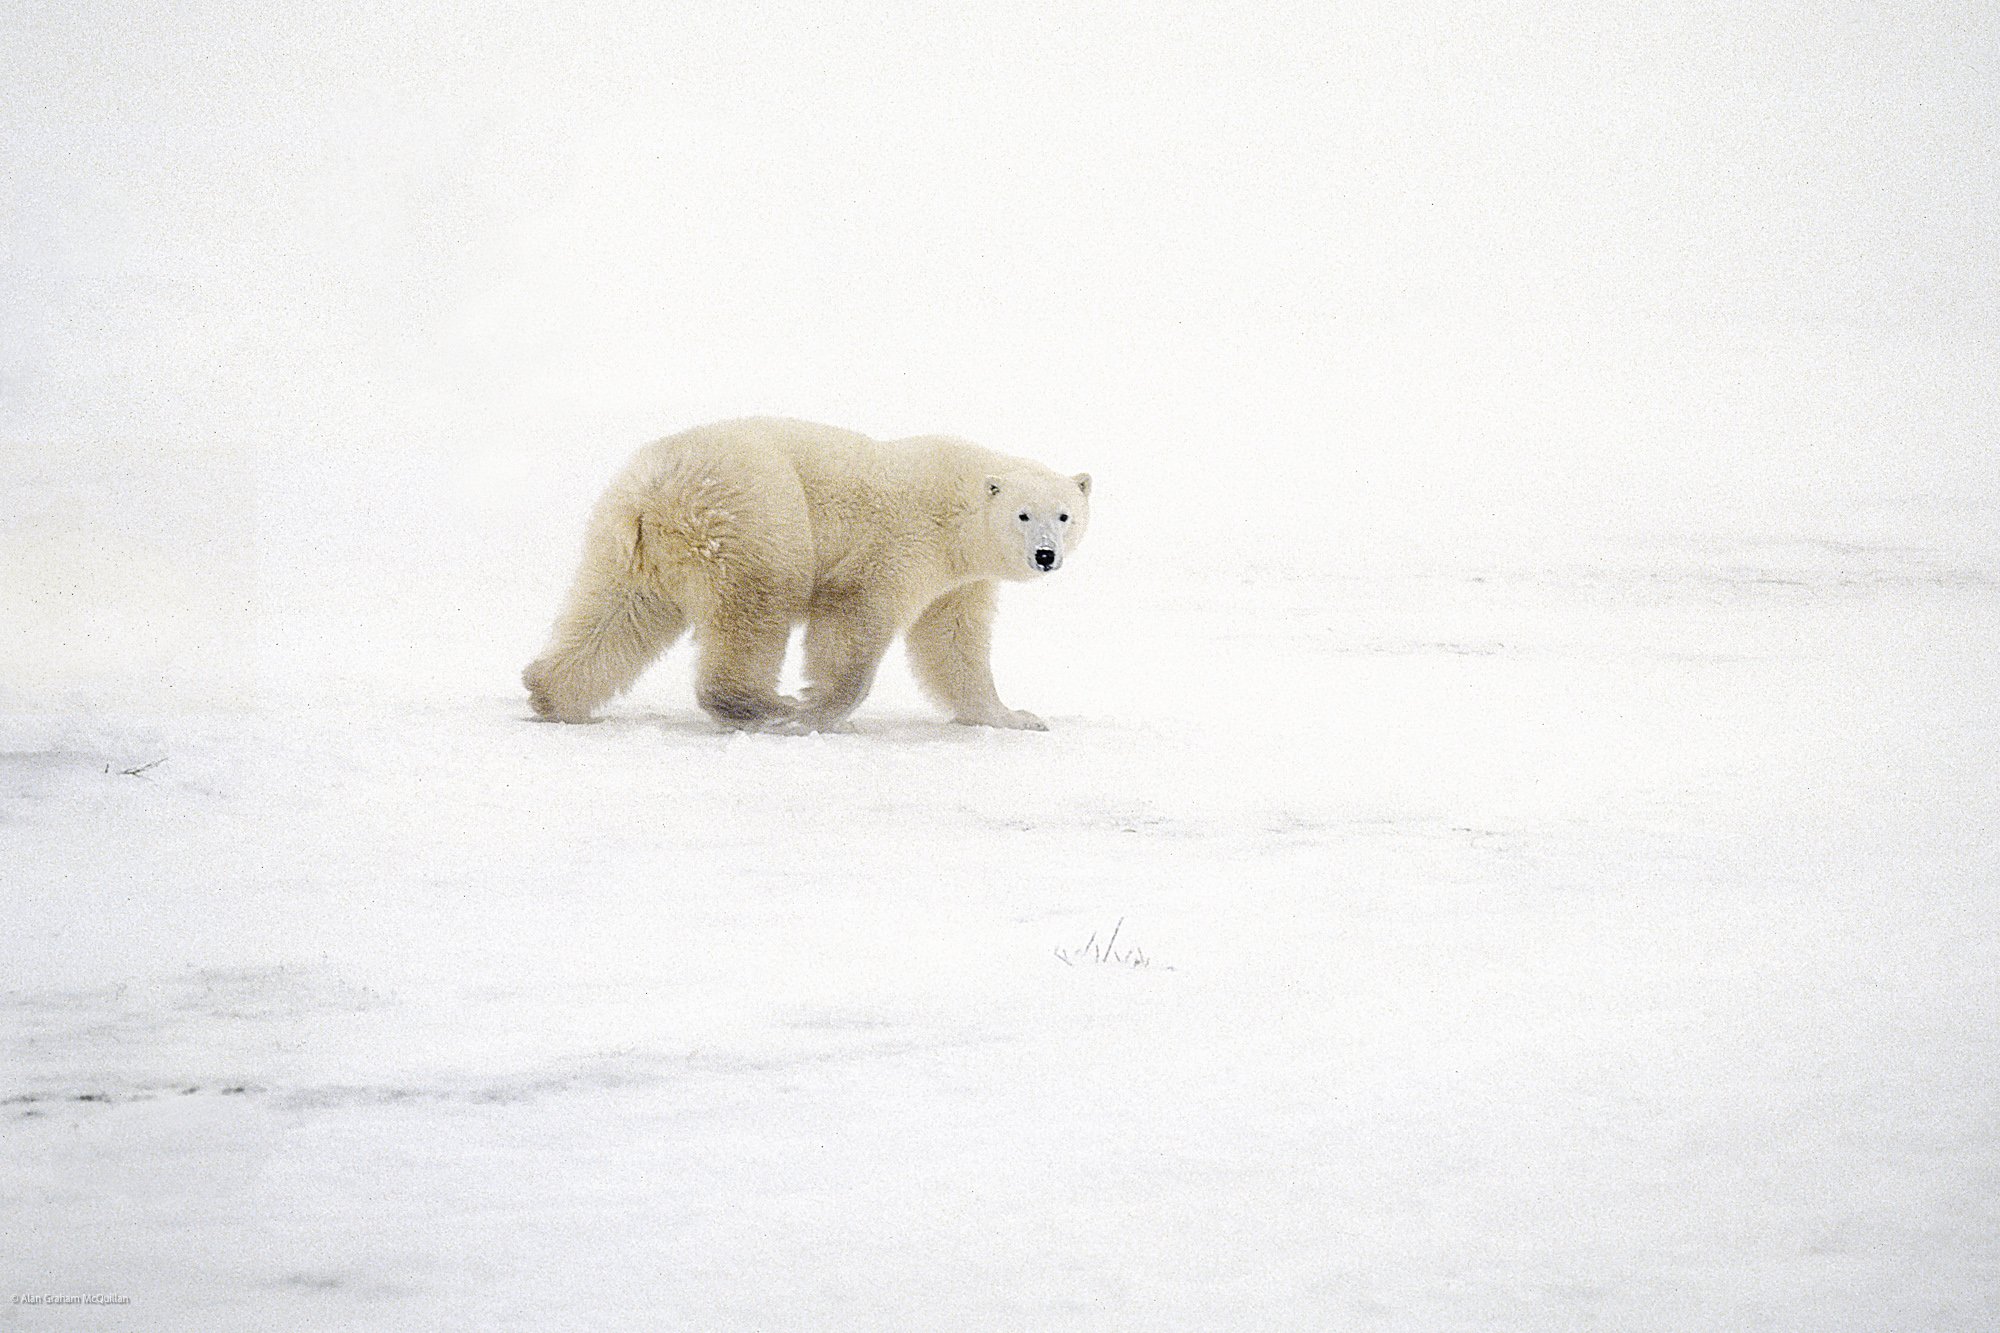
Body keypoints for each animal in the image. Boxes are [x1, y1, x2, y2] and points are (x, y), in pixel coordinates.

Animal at [522, 417, 1091, 733]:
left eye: (1065, 515)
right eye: (1023, 515)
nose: (1045, 555)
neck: (958, 508)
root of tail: (655, 491)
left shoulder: (958, 580)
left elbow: (951, 642)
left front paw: (1016, 717)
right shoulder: (902, 544)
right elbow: (854, 618)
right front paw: (819, 709)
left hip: (628, 546)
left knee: (616, 613)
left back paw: (554, 696)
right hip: (754, 517)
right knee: (758, 605)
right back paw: (770, 706)